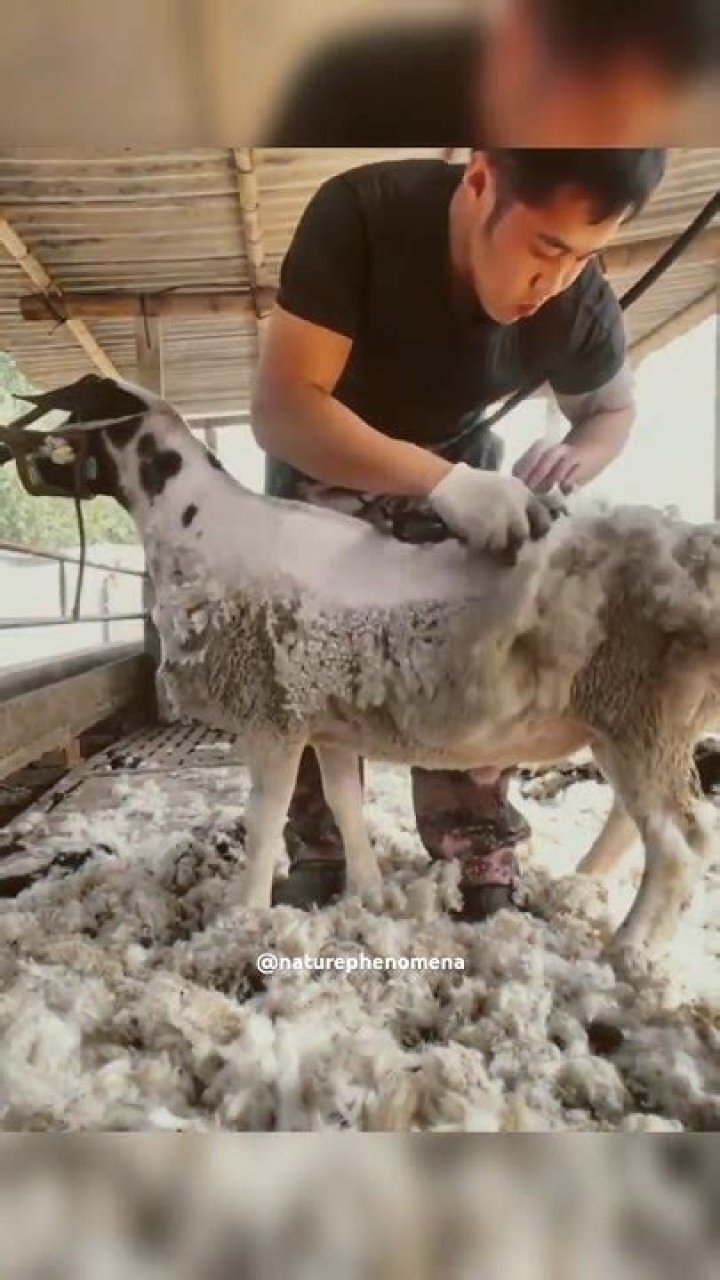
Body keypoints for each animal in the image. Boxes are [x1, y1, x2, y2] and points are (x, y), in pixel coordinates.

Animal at [11, 373, 720, 963]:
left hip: (639, 709)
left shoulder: (272, 715)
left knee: (681, 845)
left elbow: (263, 821)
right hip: (643, 719)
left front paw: (246, 915)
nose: (17, 462)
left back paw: (627, 951)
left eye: (67, 420)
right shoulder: (324, 719)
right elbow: (344, 804)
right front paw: (368, 890)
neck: (198, 528)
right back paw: (582, 886)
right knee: (635, 822)